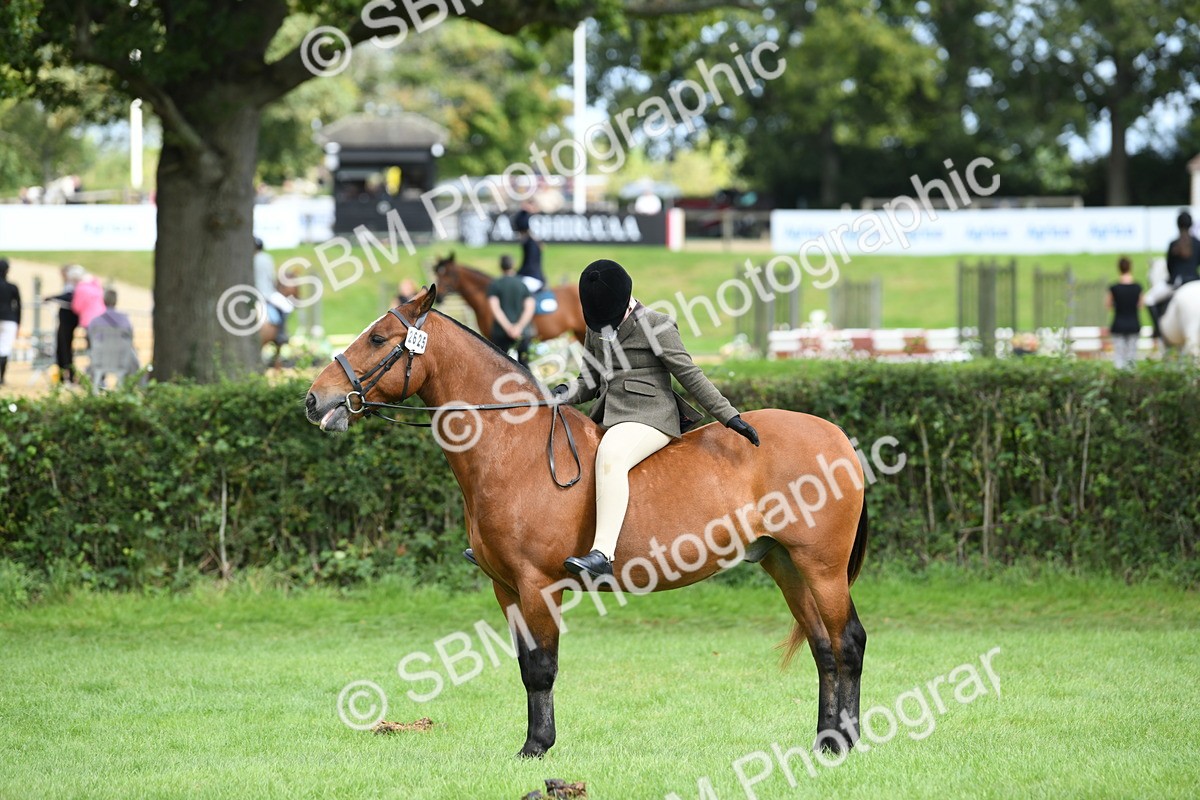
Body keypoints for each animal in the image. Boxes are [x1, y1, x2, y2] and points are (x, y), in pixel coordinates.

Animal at [304, 286, 868, 758]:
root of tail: (837, 436)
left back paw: (845, 743)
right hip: (785, 565)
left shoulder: (536, 584)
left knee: (847, 642)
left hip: (821, 567)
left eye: (378, 338)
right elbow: (526, 668)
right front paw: (533, 742)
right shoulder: (506, 588)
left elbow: (541, 668)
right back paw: (825, 741)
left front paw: (536, 747)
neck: (515, 449)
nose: (314, 400)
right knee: (822, 647)